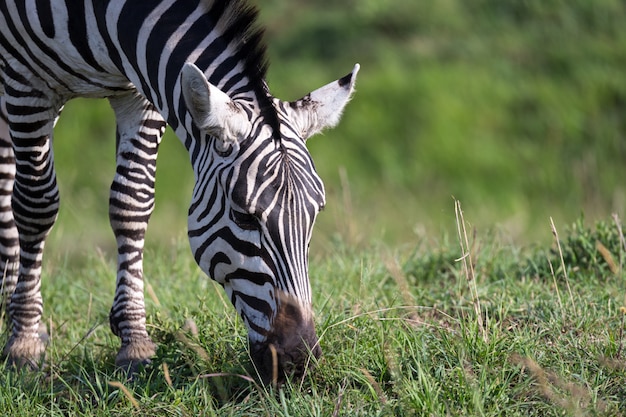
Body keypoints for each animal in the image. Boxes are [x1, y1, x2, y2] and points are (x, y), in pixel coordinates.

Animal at [0, 0, 358, 382]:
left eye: (316, 213)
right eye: (243, 216)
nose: (298, 362)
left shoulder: (140, 92)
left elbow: (131, 203)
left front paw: (134, 342)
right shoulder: (26, 80)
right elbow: (36, 204)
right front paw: (24, 342)